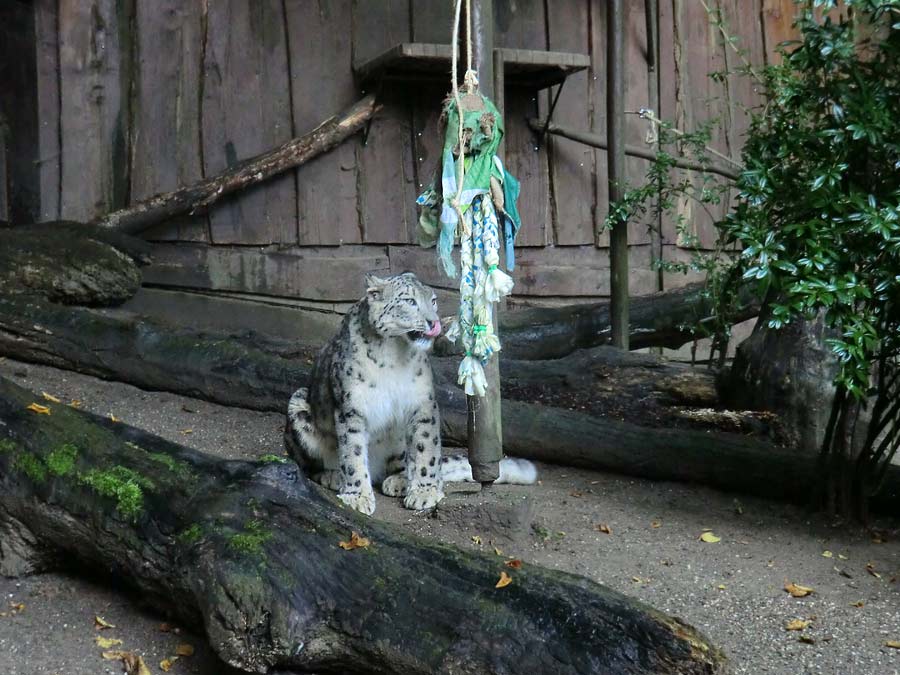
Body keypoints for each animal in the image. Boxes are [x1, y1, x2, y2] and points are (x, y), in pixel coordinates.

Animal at [284, 272, 536, 516]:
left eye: (432, 300)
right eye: (409, 301)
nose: (434, 322)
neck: (392, 355)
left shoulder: (421, 402)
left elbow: (426, 448)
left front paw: (424, 492)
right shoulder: (351, 407)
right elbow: (352, 452)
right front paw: (357, 496)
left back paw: (401, 481)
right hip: (298, 404)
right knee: (309, 466)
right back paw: (334, 476)